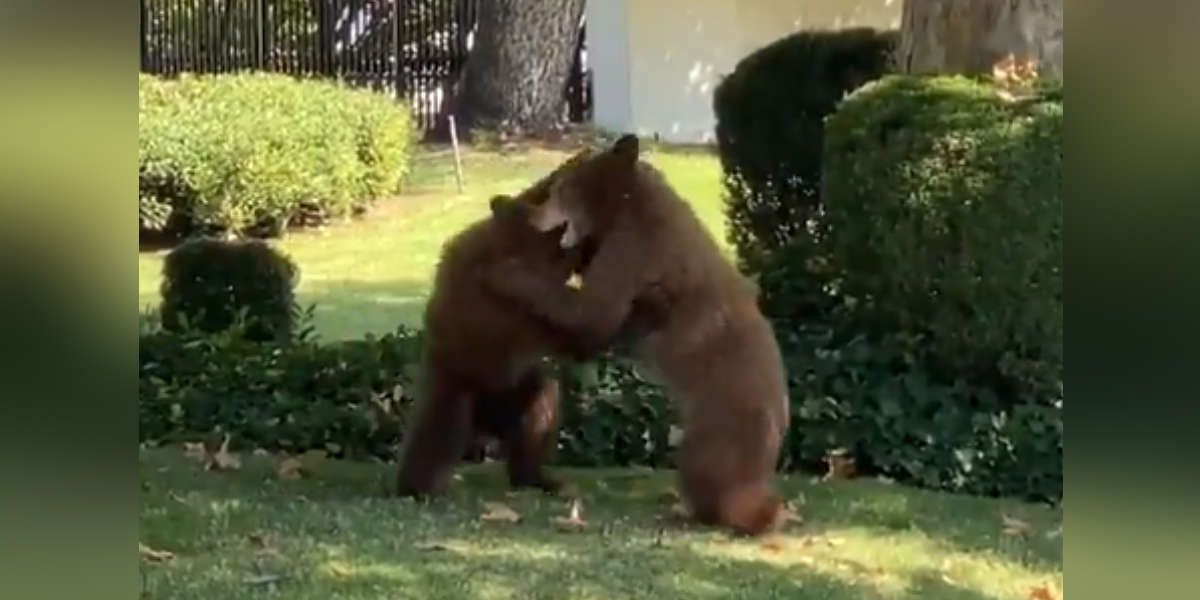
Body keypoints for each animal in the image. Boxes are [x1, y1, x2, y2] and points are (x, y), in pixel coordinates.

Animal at [480, 135, 791, 536]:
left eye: (560, 190)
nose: (534, 212)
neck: (627, 203)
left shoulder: (632, 249)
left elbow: (591, 311)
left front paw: (505, 272)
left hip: (715, 439)